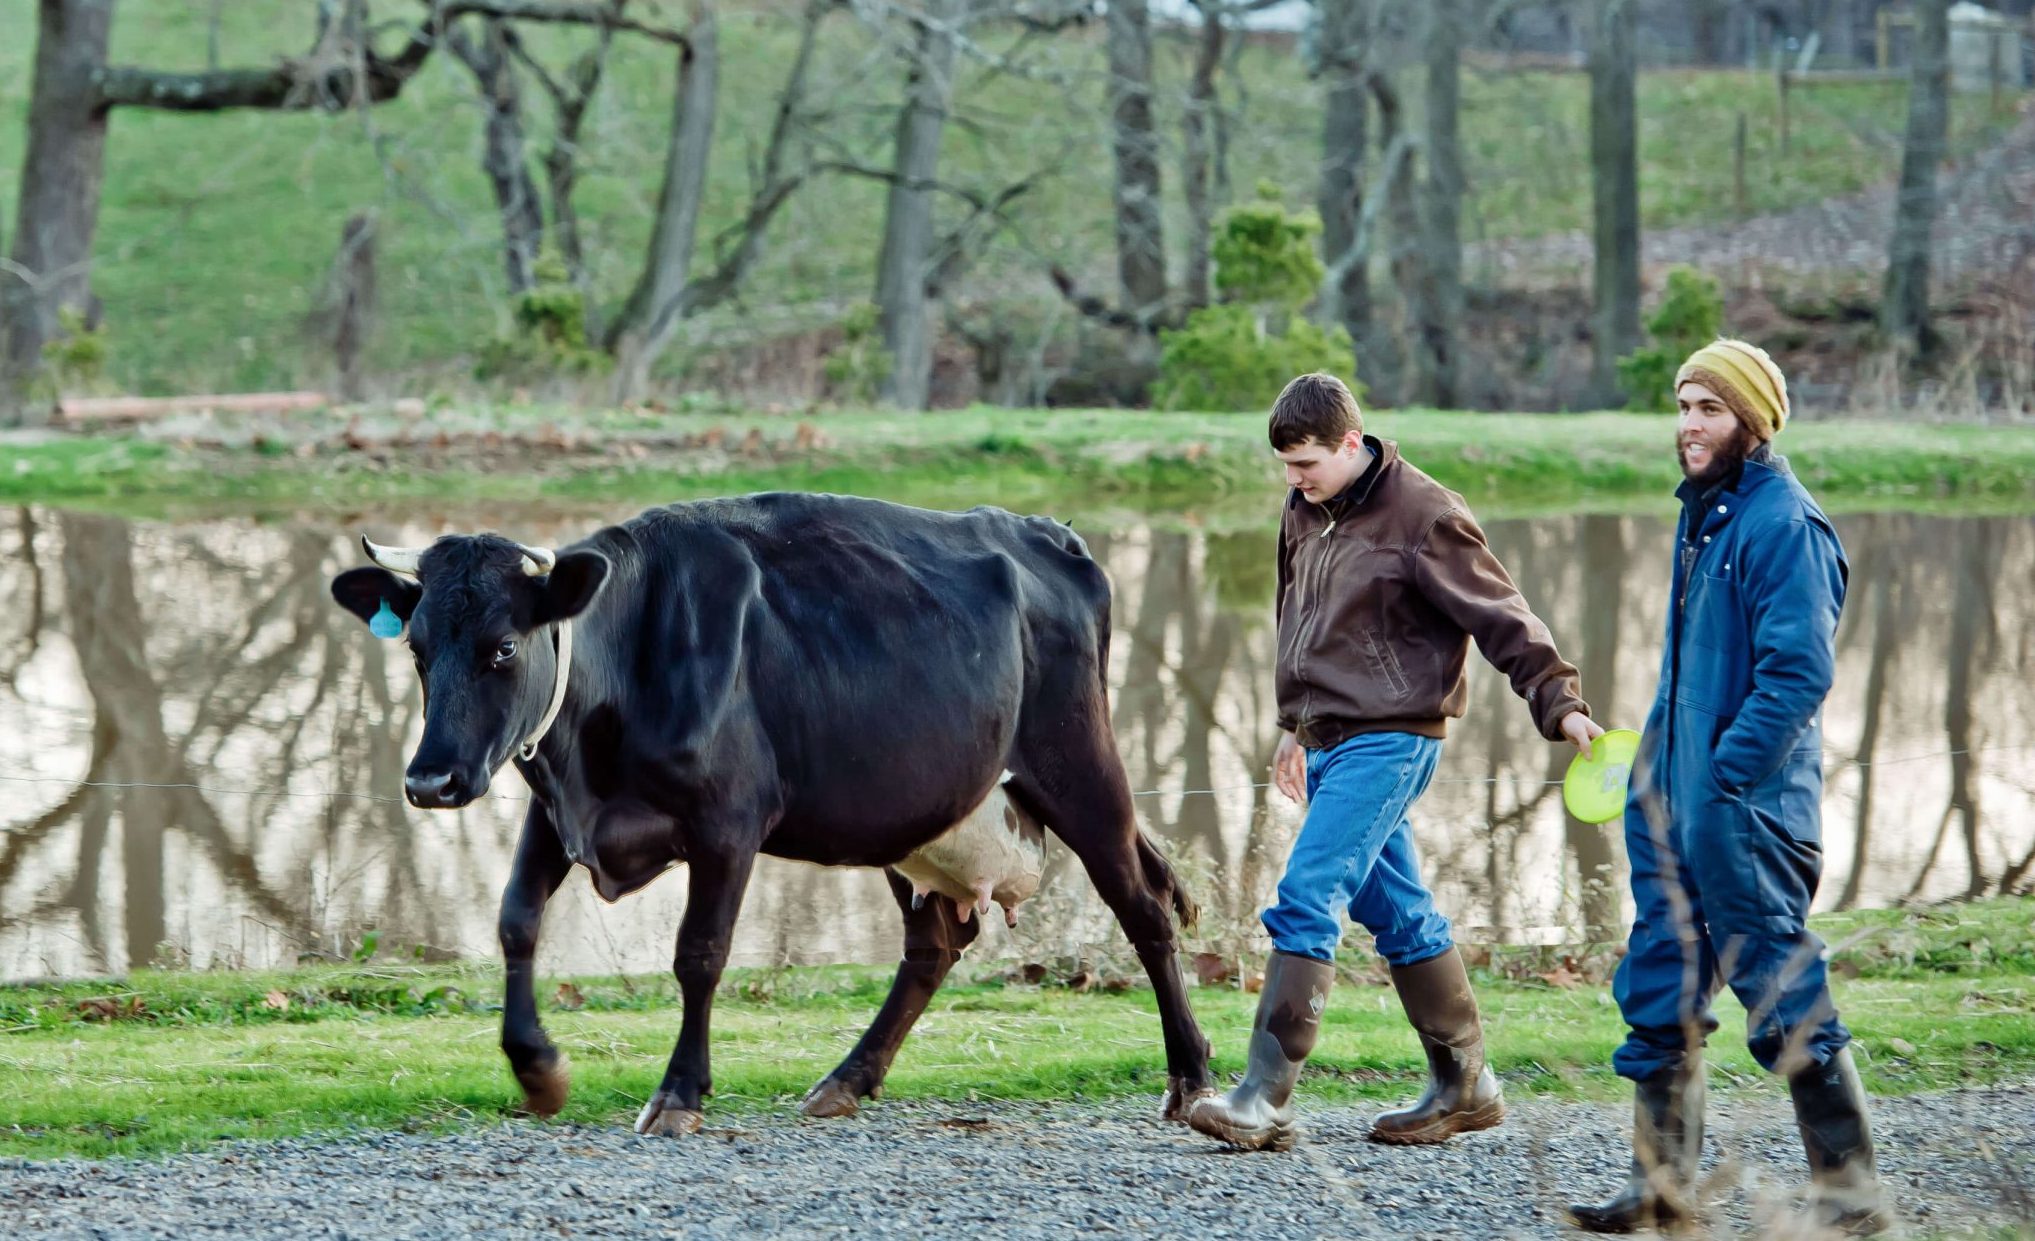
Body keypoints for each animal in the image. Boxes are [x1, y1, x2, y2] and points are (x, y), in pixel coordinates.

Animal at [329, 492, 1214, 1136]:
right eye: (416, 648)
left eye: (505, 646)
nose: (431, 779)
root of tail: (1045, 532)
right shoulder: (555, 812)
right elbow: (514, 921)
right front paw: (538, 1069)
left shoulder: (727, 821)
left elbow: (699, 953)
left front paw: (679, 1091)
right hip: (914, 813)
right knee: (931, 945)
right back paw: (847, 1078)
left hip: (1079, 766)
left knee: (1142, 907)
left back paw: (1191, 1075)